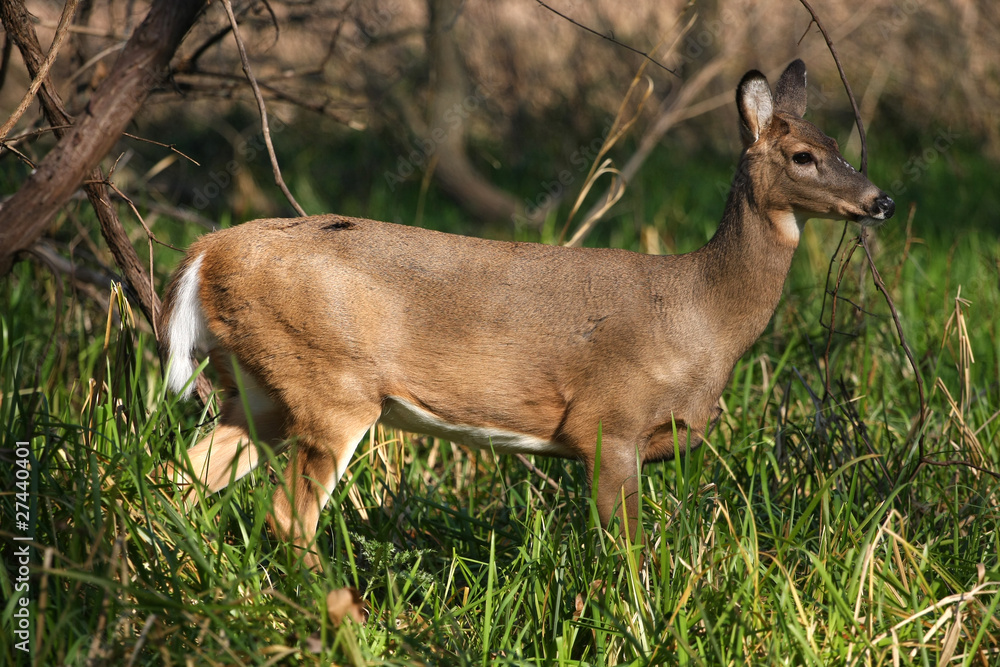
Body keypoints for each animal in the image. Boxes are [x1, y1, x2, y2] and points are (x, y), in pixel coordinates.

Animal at [160, 60, 896, 568]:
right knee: (287, 517)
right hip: (330, 384)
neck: (701, 312)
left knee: (177, 478)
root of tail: (206, 250)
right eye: (804, 155)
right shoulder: (609, 421)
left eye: (842, 145)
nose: (881, 200)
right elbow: (629, 549)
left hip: (259, 389)